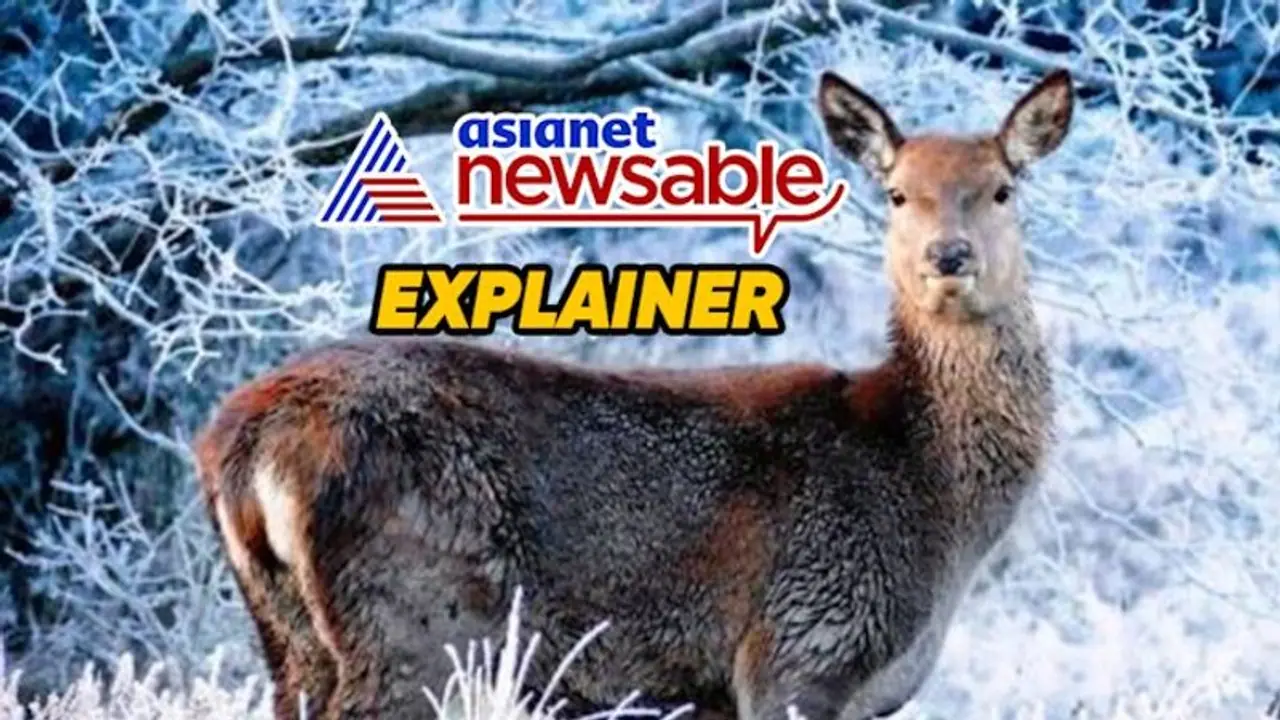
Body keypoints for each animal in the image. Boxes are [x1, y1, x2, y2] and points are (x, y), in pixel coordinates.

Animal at [193, 67, 1072, 720]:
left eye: (1002, 189)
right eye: (895, 193)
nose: (948, 257)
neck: (931, 495)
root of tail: (242, 444)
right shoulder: (799, 646)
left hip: (290, 636)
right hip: (420, 619)